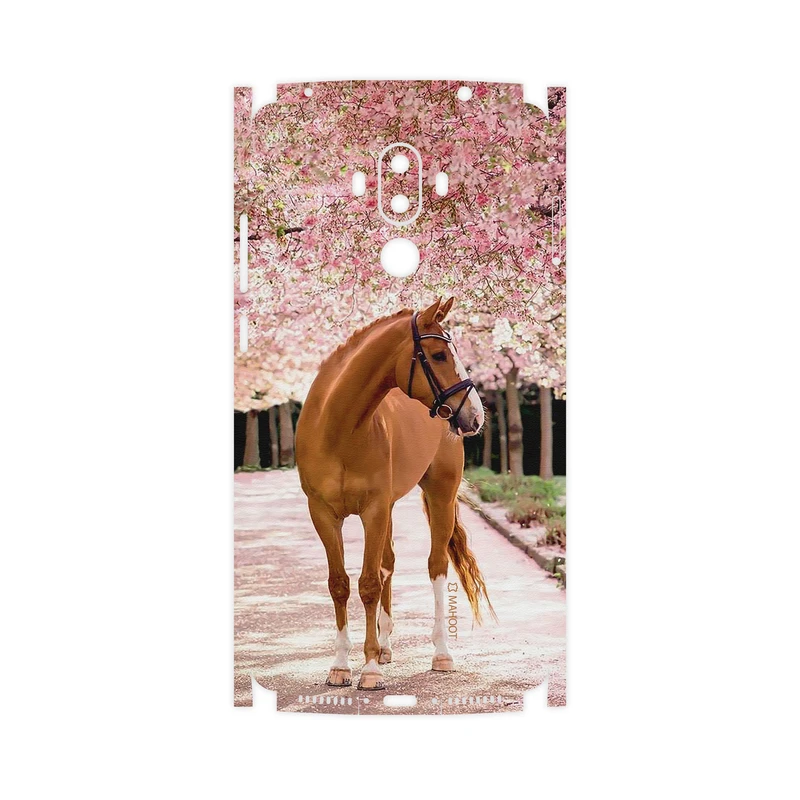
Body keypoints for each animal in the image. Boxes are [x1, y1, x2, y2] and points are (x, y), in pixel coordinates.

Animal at [295, 297, 494, 690]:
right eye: (438, 355)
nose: (476, 416)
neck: (338, 428)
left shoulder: (373, 510)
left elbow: (369, 583)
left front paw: (369, 670)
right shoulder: (324, 514)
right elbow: (340, 584)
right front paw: (341, 666)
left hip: (439, 494)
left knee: (435, 566)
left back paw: (440, 653)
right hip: (388, 508)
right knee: (388, 563)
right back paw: (385, 646)